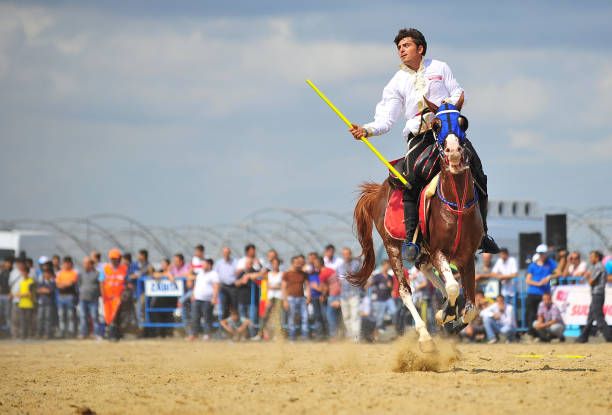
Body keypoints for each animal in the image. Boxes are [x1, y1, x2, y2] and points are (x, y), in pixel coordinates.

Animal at [350, 94, 482, 352]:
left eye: (463, 122)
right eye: (437, 126)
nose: (454, 152)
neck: (457, 206)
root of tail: (378, 191)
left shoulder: (467, 257)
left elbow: (470, 308)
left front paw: (450, 318)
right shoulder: (440, 251)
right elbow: (453, 287)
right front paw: (446, 314)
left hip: (424, 252)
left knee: (423, 268)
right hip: (393, 247)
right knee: (405, 291)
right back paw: (425, 337)